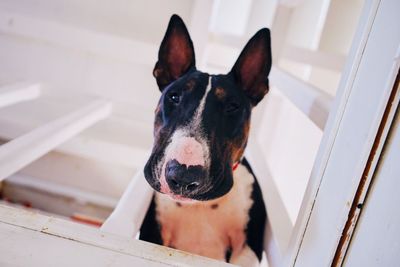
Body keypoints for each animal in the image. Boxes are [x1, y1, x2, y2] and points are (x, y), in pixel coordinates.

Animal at [141, 15, 272, 267]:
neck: (198, 207)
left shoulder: (248, 247)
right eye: (174, 96)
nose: (183, 175)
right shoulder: (152, 236)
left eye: (232, 107)